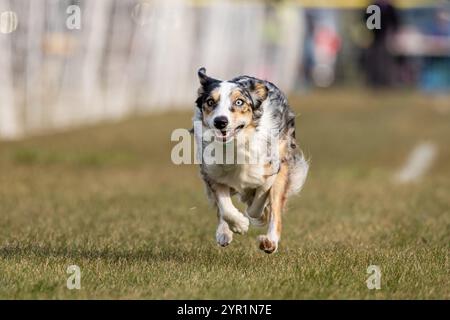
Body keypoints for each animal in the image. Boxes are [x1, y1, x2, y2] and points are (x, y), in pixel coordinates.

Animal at [192, 67, 308, 252]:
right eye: (210, 102)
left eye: (239, 102)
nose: (220, 121)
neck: (236, 145)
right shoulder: (212, 172)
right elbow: (224, 207)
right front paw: (239, 225)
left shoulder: (273, 168)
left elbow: (260, 203)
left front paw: (260, 218)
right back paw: (224, 233)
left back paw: (269, 241)